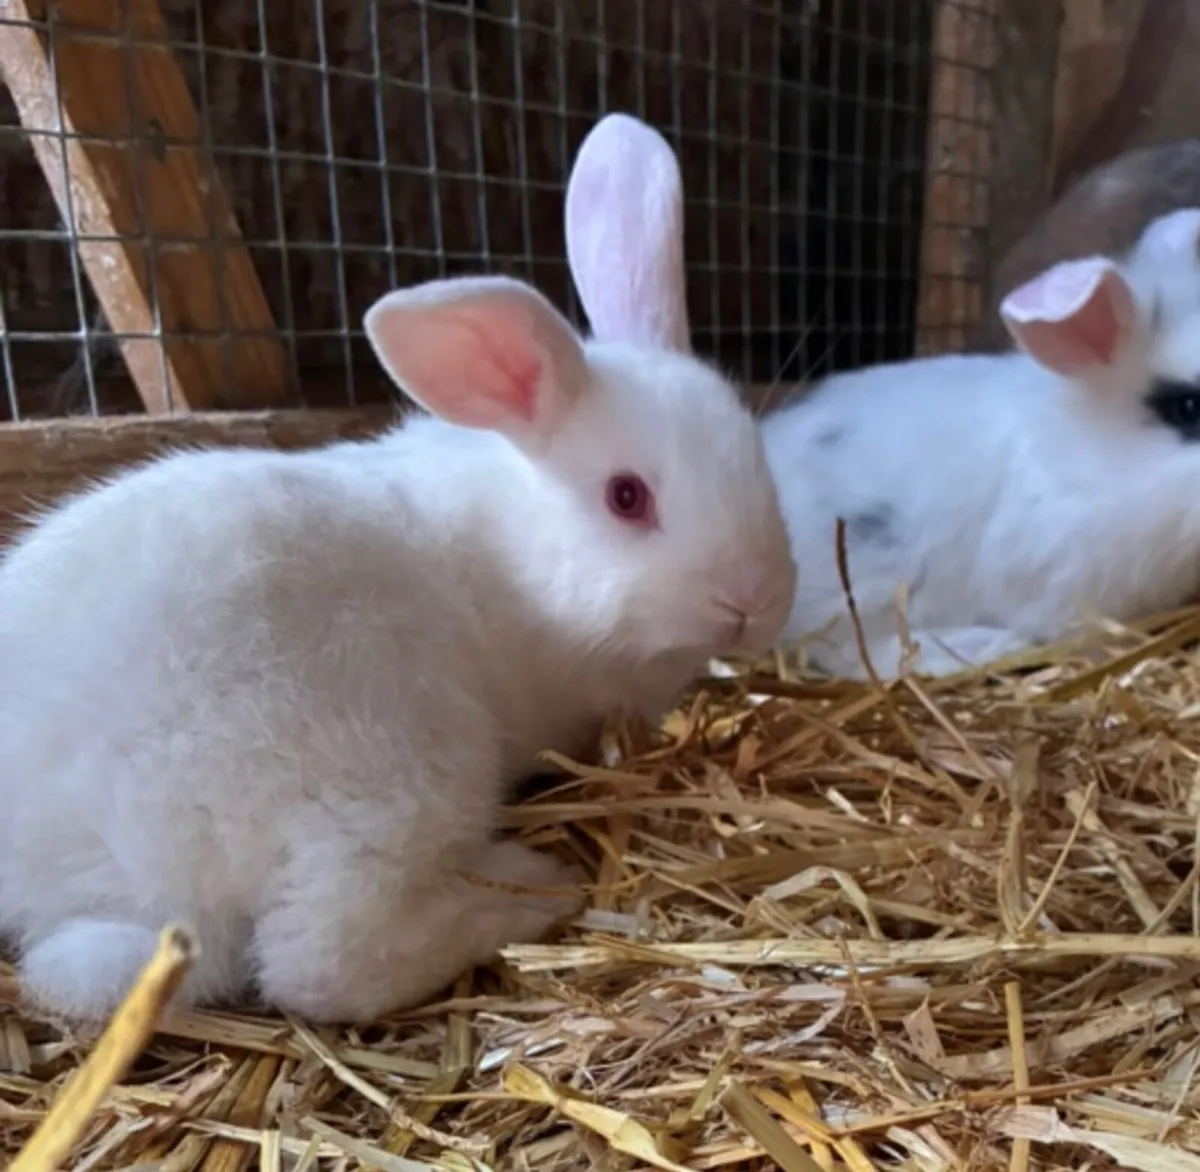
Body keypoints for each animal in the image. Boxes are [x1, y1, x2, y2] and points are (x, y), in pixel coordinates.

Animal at [0, 112, 797, 1026]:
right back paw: (528, 889)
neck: (516, 553)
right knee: (321, 960)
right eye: (626, 497)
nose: (752, 601)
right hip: (388, 774)